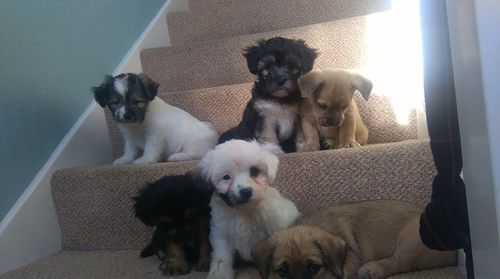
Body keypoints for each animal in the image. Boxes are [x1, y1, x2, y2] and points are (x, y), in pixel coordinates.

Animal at [199, 141, 298, 278]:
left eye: (254, 171)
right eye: (226, 177)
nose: (245, 192)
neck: (244, 210)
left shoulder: (275, 225)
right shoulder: (221, 232)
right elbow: (222, 256)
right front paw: (220, 274)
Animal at [254, 201, 458, 279]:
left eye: (314, 268)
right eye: (282, 271)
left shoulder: (351, 256)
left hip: (411, 239)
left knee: (398, 262)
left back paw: (373, 269)